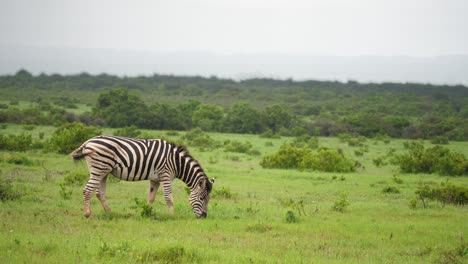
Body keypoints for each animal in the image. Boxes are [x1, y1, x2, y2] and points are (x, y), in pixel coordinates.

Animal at [69, 135, 214, 218]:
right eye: (202, 198)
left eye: (208, 199)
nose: (204, 216)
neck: (176, 162)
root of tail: (88, 141)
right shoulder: (165, 176)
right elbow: (169, 198)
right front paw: (172, 215)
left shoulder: (155, 179)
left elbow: (151, 197)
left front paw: (147, 212)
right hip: (98, 168)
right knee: (87, 190)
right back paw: (87, 214)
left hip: (103, 171)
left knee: (99, 193)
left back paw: (109, 212)